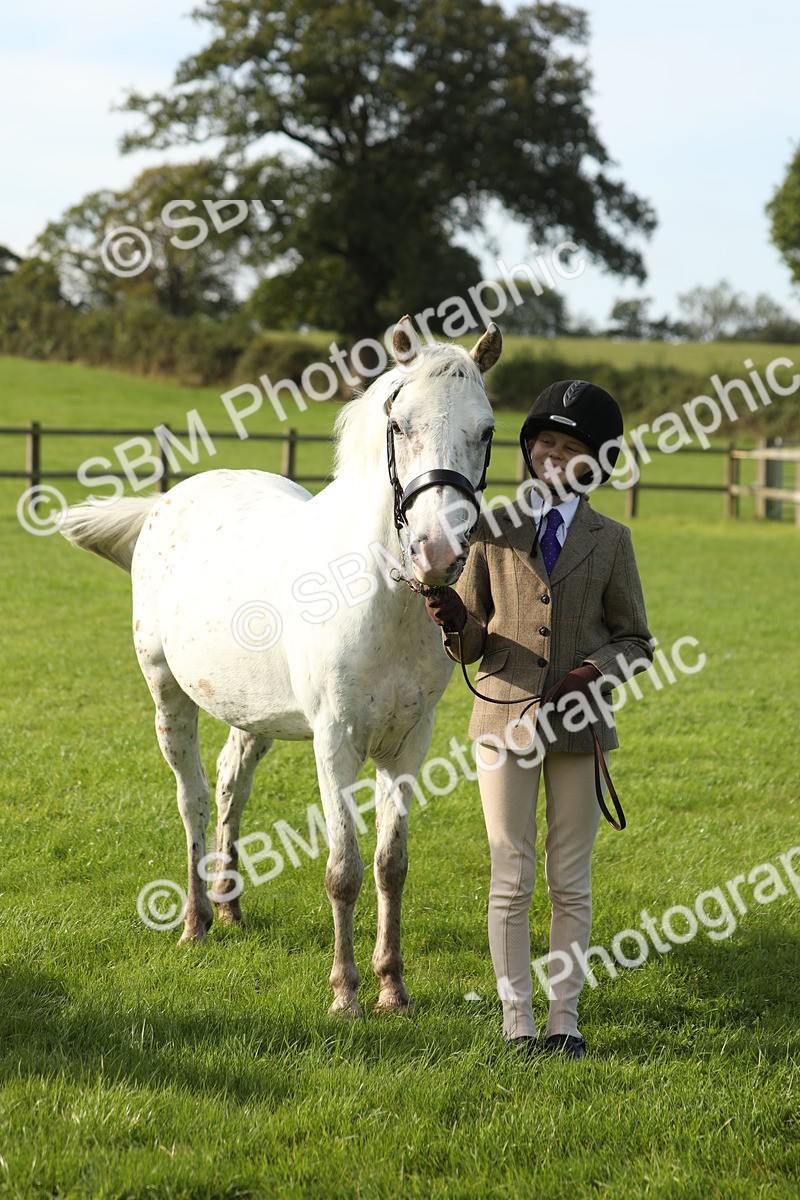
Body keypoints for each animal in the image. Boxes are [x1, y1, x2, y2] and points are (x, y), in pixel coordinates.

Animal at [59, 317, 501, 1018]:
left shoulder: (408, 744)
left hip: (253, 716)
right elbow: (344, 869)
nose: (435, 550)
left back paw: (230, 908)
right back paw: (196, 922)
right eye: (399, 423)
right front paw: (346, 993)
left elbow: (391, 864)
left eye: (486, 430)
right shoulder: (334, 742)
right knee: (192, 799)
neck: (380, 597)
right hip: (167, 697)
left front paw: (393, 987)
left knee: (230, 783)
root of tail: (168, 499)